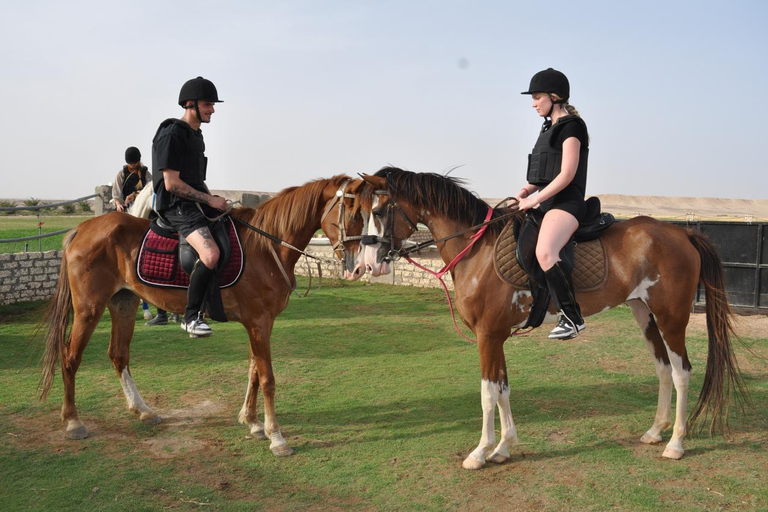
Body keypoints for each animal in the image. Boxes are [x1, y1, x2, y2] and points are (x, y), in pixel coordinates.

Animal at [39, 175, 368, 456]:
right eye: (353, 215)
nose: (358, 267)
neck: (266, 247)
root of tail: (83, 228)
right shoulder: (259, 322)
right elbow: (267, 378)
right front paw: (276, 437)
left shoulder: (260, 323)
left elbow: (253, 370)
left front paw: (252, 422)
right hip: (89, 309)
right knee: (70, 357)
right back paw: (73, 421)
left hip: (124, 304)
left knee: (118, 355)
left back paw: (143, 411)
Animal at [360, 167, 747, 469]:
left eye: (378, 210)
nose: (369, 264)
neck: (478, 250)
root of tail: (683, 231)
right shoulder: (497, 336)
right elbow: (503, 389)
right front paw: (503, 447)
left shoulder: (487, 336)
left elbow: (487, 394)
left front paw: (480, 452)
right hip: (644, 313)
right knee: (663, 369)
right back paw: (655, 432)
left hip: (671, 317)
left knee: (682, 373)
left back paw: (676, 443)